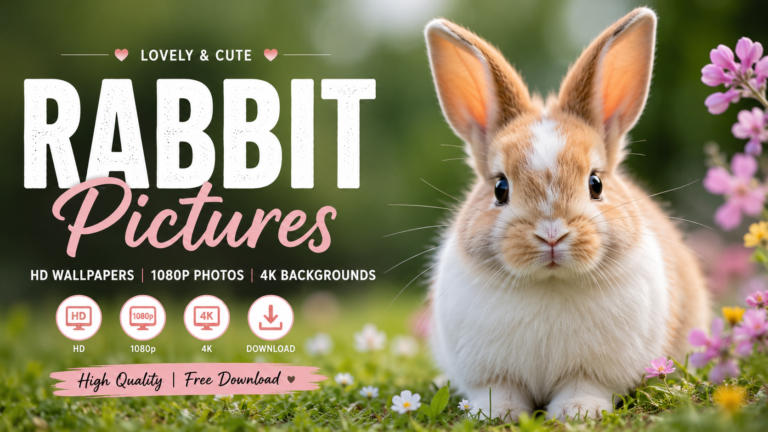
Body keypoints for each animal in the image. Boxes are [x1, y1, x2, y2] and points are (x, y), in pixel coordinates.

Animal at [424, 7, 709, 421]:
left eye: (596, 184)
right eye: (500, 188)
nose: (551, 234)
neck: (550, 282)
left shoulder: (592, 372)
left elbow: (583, 387)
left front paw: (577, 413)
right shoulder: (493, 375)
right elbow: (500, 391)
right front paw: (496, 414)